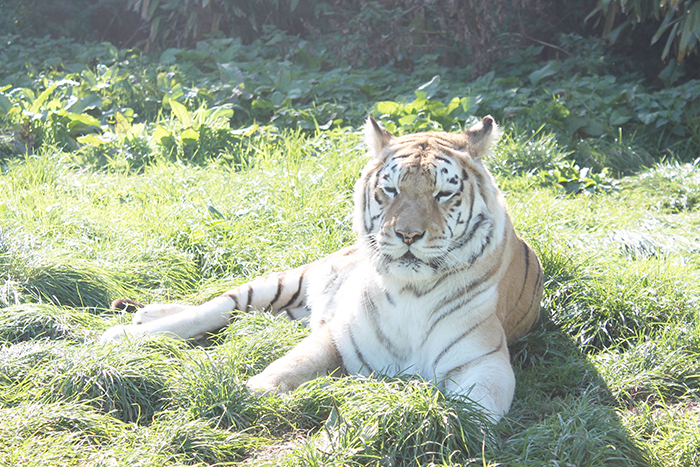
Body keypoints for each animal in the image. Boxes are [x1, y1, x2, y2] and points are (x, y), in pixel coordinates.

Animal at [101, 117, 544, 424]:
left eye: (444, 193)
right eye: (391, 190)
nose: (407, 234)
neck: (411, 289)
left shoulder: (484, 361)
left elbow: (476, 407)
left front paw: (435, 422)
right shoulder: (341, 337)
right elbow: (290, 365)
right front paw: (250, 393)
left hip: (283, 310)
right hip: (281, 283)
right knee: (213, 307)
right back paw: (126, 331)